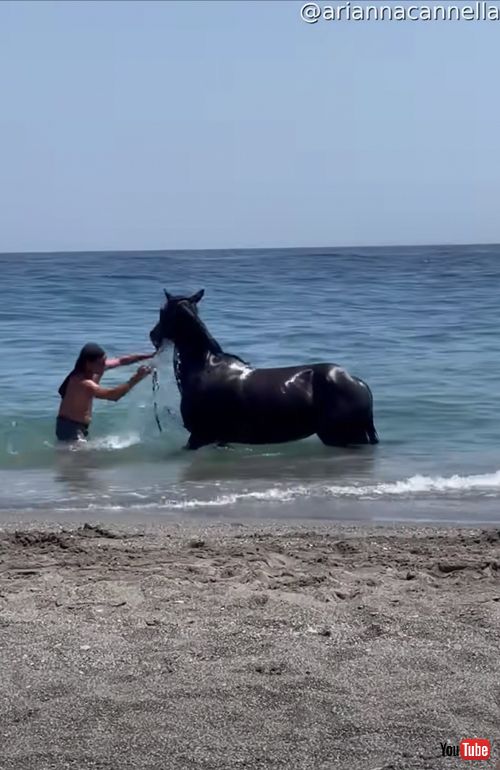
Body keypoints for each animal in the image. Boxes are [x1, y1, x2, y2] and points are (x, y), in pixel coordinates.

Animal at [149, 289, 379, 451]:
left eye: (162, 312)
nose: (152, 335)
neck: (206, 368)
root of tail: (358, 383)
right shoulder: (219, 439)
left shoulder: (199, 436)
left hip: (342, 436)